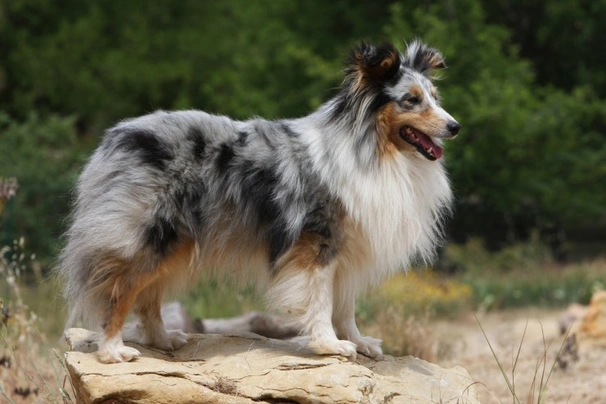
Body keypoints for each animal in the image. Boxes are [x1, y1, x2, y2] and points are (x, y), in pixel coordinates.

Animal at [60, 40, 460, 362]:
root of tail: (115, 137)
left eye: (435, 98)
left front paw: (359, 343)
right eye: (412, 100)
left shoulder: (348, 251)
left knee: (148, 296)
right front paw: (329, 345)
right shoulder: (317, 245)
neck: (373, 150)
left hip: (174, 242)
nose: (455, 126)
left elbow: (345, 307)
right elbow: (321, 301)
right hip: (148, 235)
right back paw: (113, 350)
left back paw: (163, 339)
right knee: (120, 289)